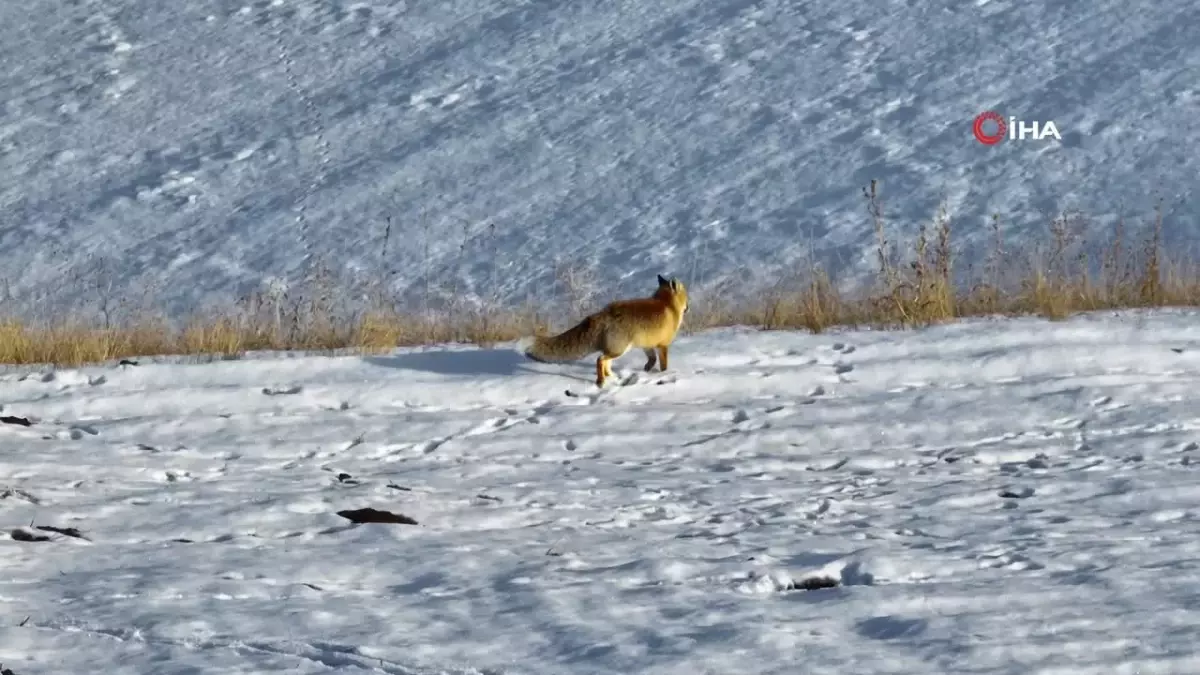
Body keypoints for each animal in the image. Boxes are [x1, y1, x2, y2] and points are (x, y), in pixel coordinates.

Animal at [520, 275, 691, 389]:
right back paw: (601, 382)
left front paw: (647, 370)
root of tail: (604, 313)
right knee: (600, 360)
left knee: (606, 363)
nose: (688, 308)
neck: (667, 305)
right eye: (687, 297)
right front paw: (664, 374)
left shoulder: (647, 344)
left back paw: (614, 378)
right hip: (620, 349)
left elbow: (652, 359)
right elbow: (663, 364)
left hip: (616, 349)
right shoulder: (663, 345)